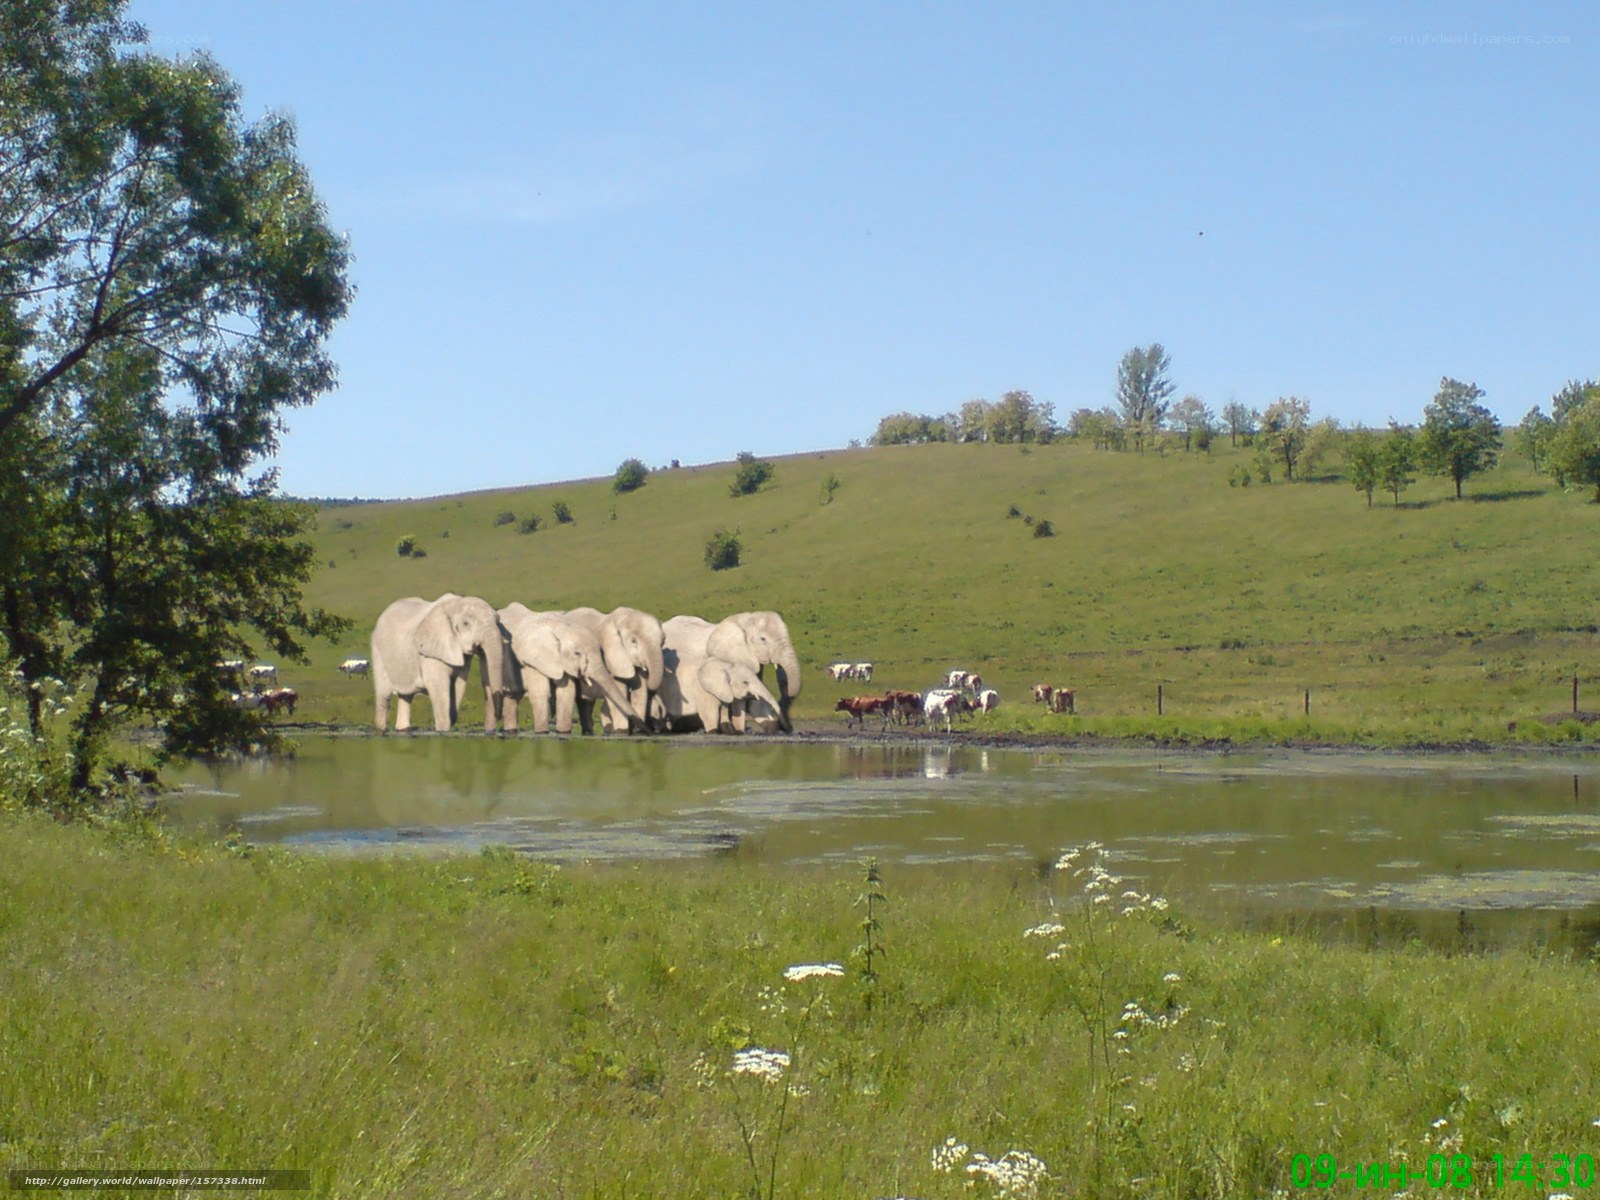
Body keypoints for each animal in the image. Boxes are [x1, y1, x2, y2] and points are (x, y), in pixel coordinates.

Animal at [371, 593, 508, 732]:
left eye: (498, 622)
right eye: (465, 624)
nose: (498, 715)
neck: (455, 605)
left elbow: (458, 685)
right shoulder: (430, 653)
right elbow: (439, 687)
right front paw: (442, 731)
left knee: (406, 696)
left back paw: (402, 729)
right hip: (378, 651)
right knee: (384, 697)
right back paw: (381, 729)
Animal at [496, 604, 642, 735]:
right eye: (577, 653)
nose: (643, 728)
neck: (560, 627)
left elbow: (567, 692)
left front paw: (563, 732)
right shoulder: (530, 657)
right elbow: (540, 692)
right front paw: (542, 733)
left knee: (512, 697)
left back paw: (510, 731)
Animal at [563, 605, 666, 734]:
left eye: (662, 642)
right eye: (633, 641)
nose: (653, 730)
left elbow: (640, 690)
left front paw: (637, 731)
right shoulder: (610, 656)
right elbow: (619, 686)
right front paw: (622, 731)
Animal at [663, 611, 802, 732]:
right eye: (763, 639)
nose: (789, 729)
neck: (745, 620)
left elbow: (755, 698)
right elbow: (734, 699)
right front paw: (732, 730)